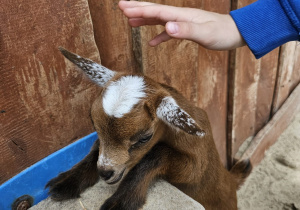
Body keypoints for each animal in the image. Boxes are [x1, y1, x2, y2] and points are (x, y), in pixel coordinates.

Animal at [45, 47, 251, 210]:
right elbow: (96, 147)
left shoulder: (195, 167)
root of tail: (231, 180)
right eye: (93, 124)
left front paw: (120, 202)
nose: (105, 172)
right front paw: (66, 182)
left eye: (144, 138)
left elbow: (157, 154)